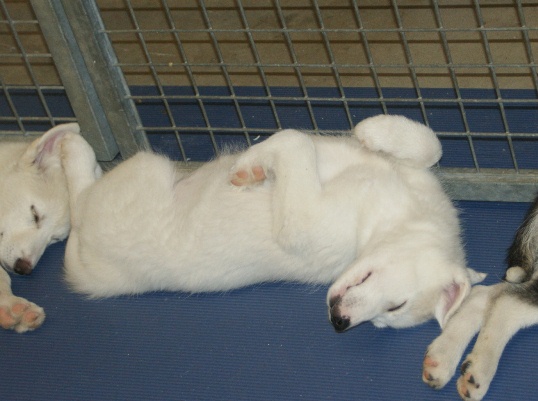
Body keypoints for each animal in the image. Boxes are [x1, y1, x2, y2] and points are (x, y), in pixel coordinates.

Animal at [60, 114, 484, 330]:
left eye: (389, 314)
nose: (339, 322)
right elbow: (430, 144)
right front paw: (374, 130)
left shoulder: (304, 223)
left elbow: (295, 140)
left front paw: (254, 164)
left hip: (142, 174)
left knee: (78, 202)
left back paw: (71, 149)